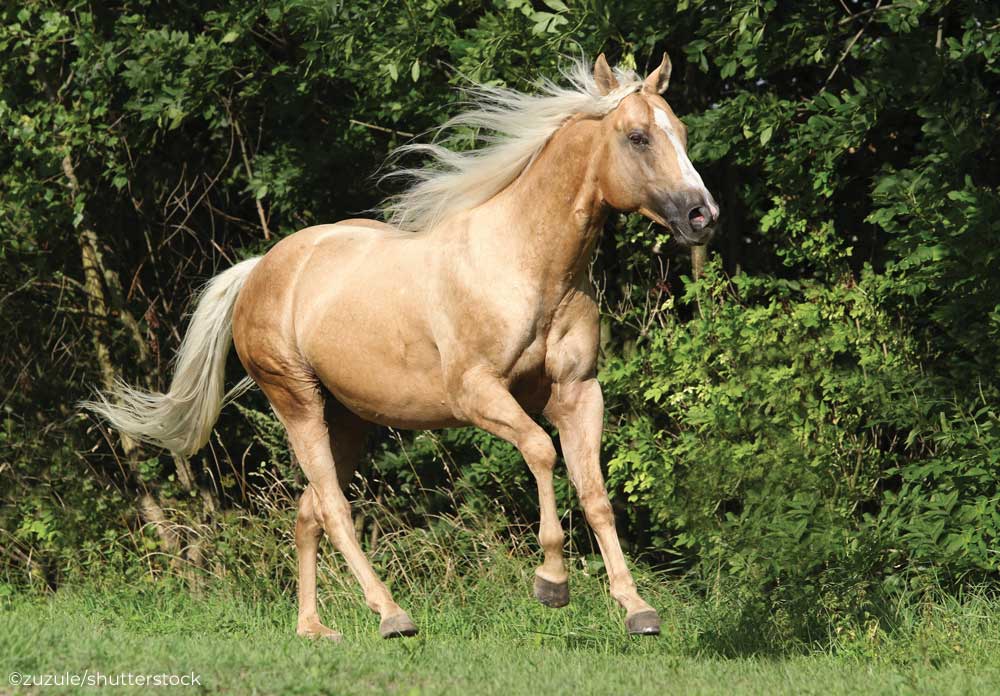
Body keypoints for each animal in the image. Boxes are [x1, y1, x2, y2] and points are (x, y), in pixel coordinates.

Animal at [86, 54, 720, 640]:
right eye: (637, 137)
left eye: (681, 131)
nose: (702, 216)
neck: (529, 267)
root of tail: (261, 268)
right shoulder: (478, 394)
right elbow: (542, 452)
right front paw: (552, 583)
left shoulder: (578, 393)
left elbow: (595, 493)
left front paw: (637, 609)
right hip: (297, 402)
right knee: (334, 509)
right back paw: (391, 615)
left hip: (346, 418)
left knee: (308, 511)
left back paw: (314, 628)